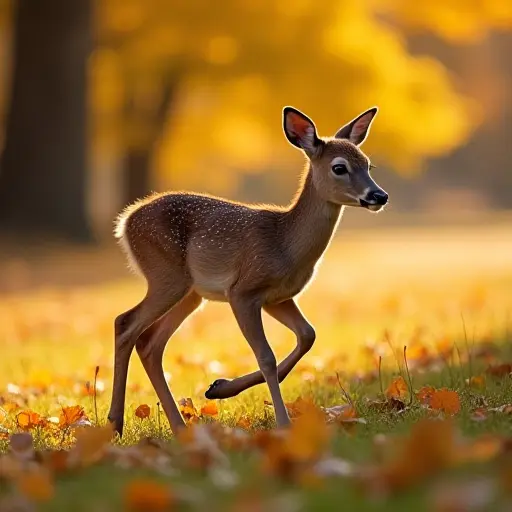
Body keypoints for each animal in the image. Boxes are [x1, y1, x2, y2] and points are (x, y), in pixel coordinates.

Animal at [108, 106, 388, 434]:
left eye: (367, 164)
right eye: (339, 167)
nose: (379, 196)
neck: (285, 244)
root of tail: (124, 222)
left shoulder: (279, 298)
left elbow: (308, 335)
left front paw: (220, 387)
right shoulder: (243, 290)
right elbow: (266, 356)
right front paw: (283, 423)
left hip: (192, 293)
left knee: (150, 343)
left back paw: (179, 426)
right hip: (166, 274)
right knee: (125, 323)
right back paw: (115, 423)